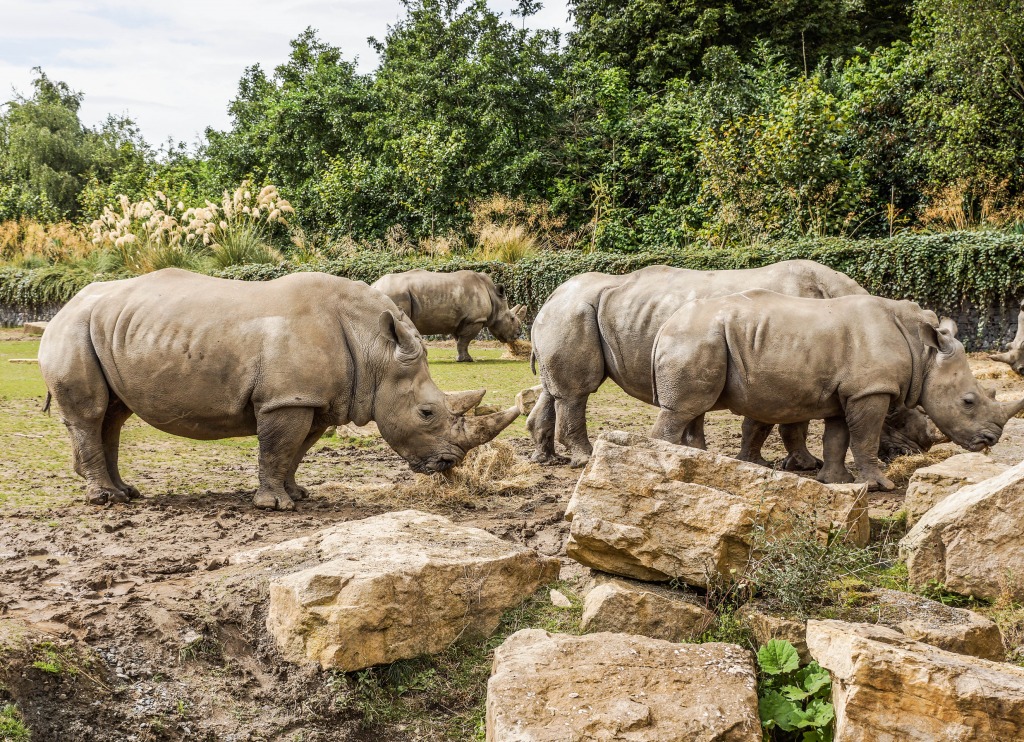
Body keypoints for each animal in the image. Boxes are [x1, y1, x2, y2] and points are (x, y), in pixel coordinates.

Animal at [370, 270, 528, 362]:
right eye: (511, 318)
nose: (517, 335)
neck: (495, 299)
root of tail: (375, 285)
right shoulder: (475, 320)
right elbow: (465, 341)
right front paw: (467, 360)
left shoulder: (461, 321)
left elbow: (461, 342)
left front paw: (462, 358)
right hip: (395, 293)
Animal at [528, 260, 872, 466]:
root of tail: (551, 296)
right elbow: (790, 422)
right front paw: (802, 465)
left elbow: (775, 419)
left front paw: (775, 463)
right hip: (573, 311)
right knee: (577, 392)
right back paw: (584, 459)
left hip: (567, 313)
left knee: (551, 389)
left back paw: (545, 459)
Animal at [647, 292, 1024, 489]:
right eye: (968, 401)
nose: (990, 440)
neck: (924, 352)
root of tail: (665, 324)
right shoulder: (871, 390)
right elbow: (866, 437)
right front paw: (881, 485)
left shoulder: (849, 392)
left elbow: (838, 438)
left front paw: (835, 481)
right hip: (695, 338)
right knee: (682, 410)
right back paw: (664, 466)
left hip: (700, 338)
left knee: (694, 409)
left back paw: (692, 466)